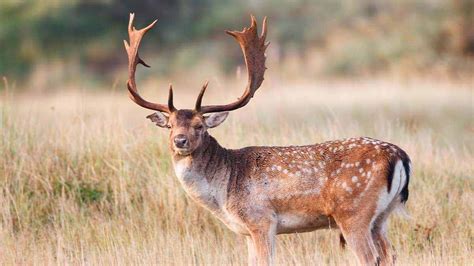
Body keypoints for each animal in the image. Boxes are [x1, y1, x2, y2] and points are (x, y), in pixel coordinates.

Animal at [123, 13, 412, 266]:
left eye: (200, 126)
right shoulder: (248, 232)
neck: (225, 191)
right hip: (381, 217)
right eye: (169, 125)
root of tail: (399, 156)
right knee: (390, 255)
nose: (180, 141)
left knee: (370, 258)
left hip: (353, 212)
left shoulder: (261, 220)